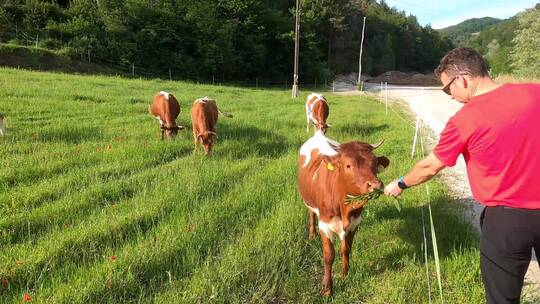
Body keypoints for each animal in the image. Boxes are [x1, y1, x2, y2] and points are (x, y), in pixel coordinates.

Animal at [298, 130, 390, 294]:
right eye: (348, 165)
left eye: (375, 163)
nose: (375, 185)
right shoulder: (325, 224)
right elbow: (329, 256)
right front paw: (327, 288)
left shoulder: (354, 223)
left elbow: (346, 249)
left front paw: (345, 274)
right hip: (309, 202)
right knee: (311, 214)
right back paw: (311, 235)